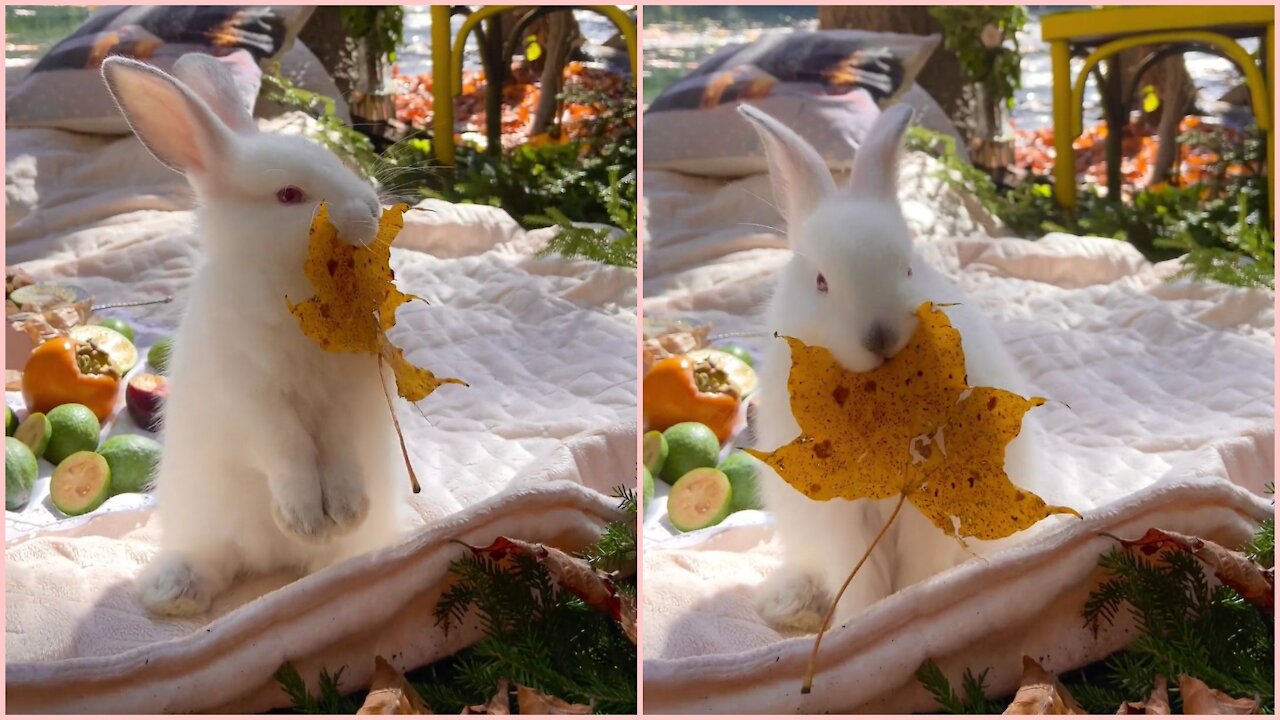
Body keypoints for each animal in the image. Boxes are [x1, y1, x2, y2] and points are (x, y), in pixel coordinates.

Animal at [106, 57, 414, 617]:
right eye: (289, 195)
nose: (370, 210)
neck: (299, 291)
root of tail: (272, 563)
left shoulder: (350, 396)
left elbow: (339, 448)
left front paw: (344, 512)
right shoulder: (253, 402)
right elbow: (288, 449)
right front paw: (305, 519)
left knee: (326, 564)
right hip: (201, 516)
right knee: (214, 560)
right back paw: (173, 592)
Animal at [737, 101, 1085, 627]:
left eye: (907, 268)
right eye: (821, 282)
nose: (879, 336)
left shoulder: (931, 512)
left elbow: (916, 575)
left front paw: (907, 609)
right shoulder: (844, 518)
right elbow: (860, 581)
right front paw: (856, 624)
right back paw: (792, 604)